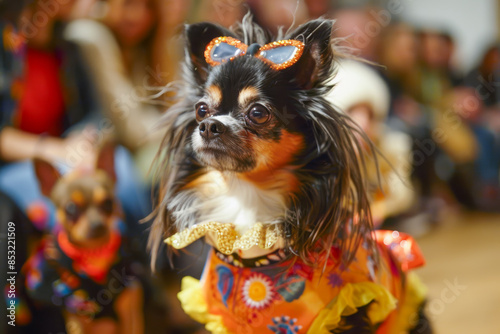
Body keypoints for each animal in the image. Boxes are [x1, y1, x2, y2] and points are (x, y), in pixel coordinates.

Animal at [25, 144, 144, 334]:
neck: (93, 256)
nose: (97, 224)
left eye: (108, 203)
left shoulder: (130, 312)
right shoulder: (77, 321)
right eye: (71, 208)